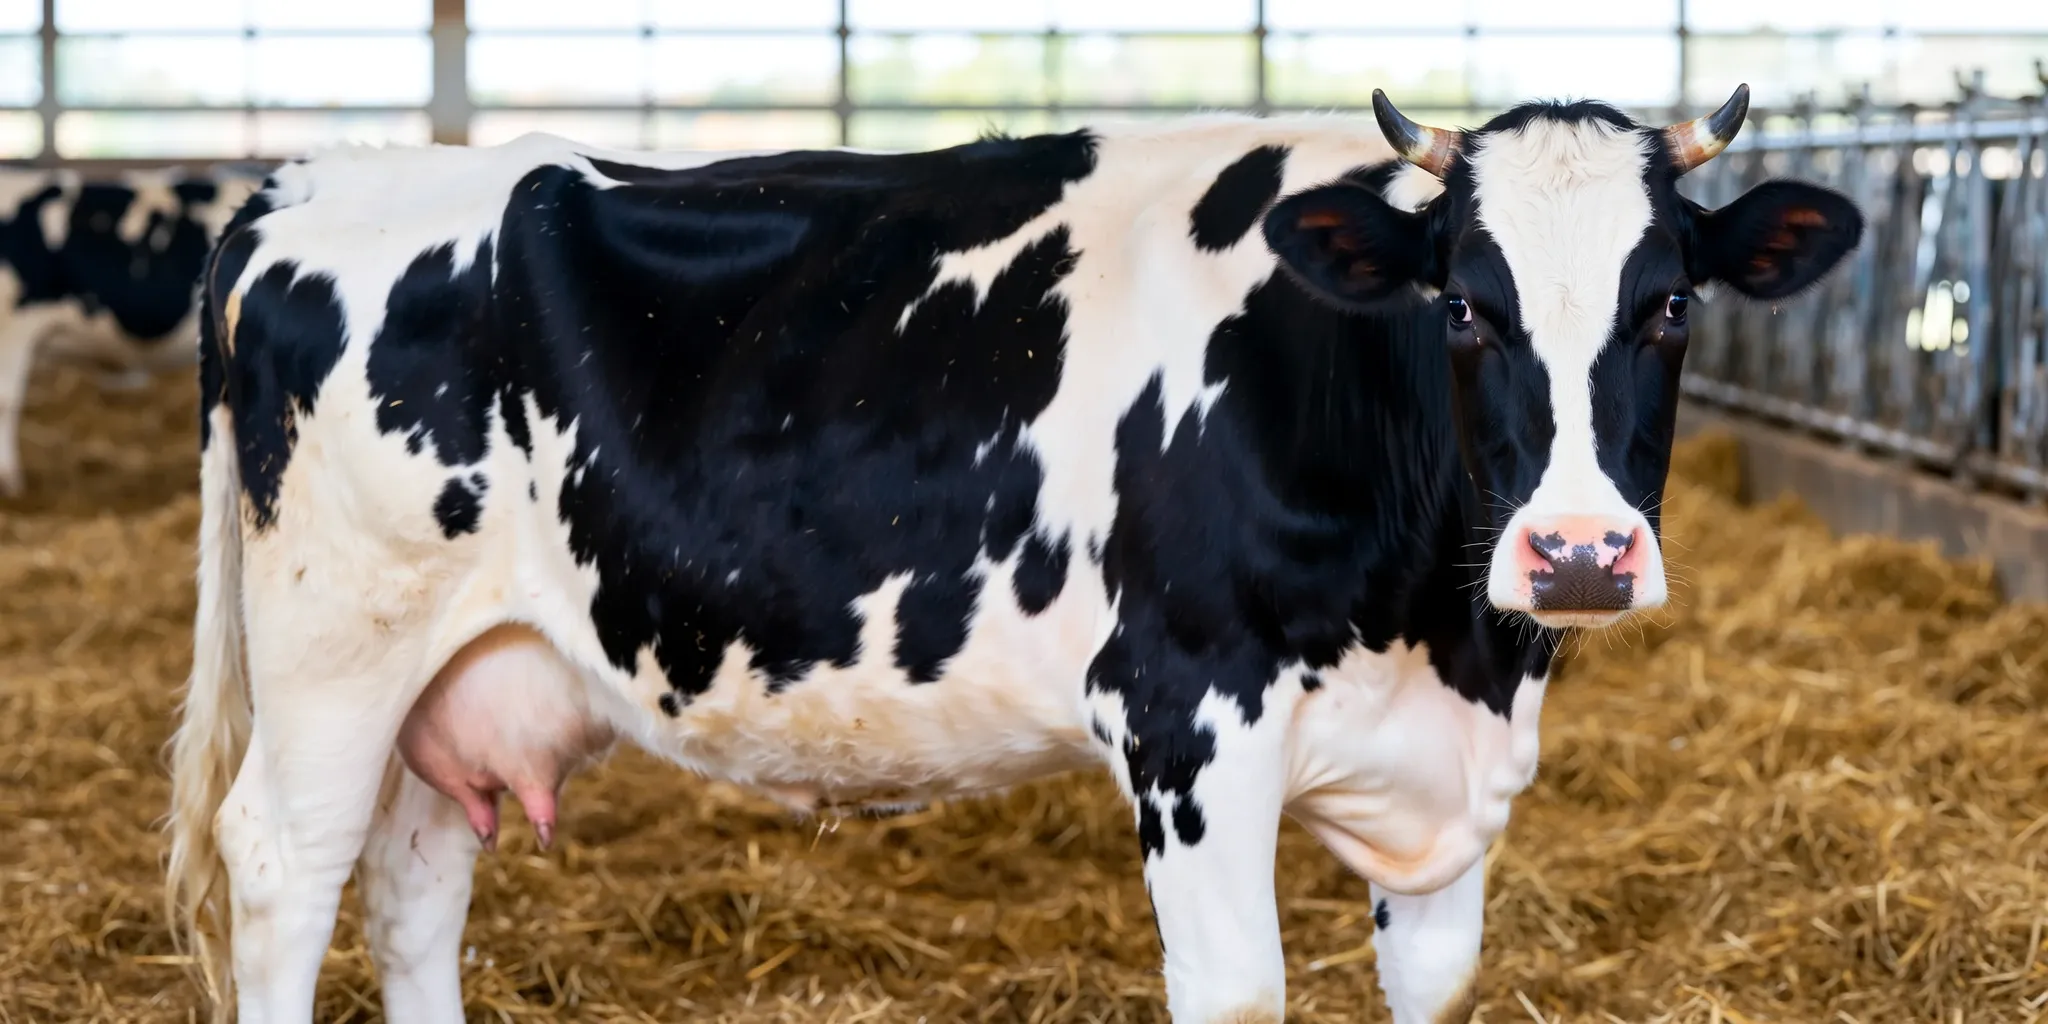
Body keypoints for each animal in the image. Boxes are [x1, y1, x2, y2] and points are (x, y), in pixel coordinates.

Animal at [165, 85, 1861, 1024]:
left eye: (1671, 307)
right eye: (1464, 306)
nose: (1578, 552)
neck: (1450, 648)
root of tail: (313, 181)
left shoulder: (1443, 778)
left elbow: (1433, 989)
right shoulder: (1188, 724)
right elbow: (1239, 993)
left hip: (469, 667)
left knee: (409, 885)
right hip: (335, 644)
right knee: (286, 866)